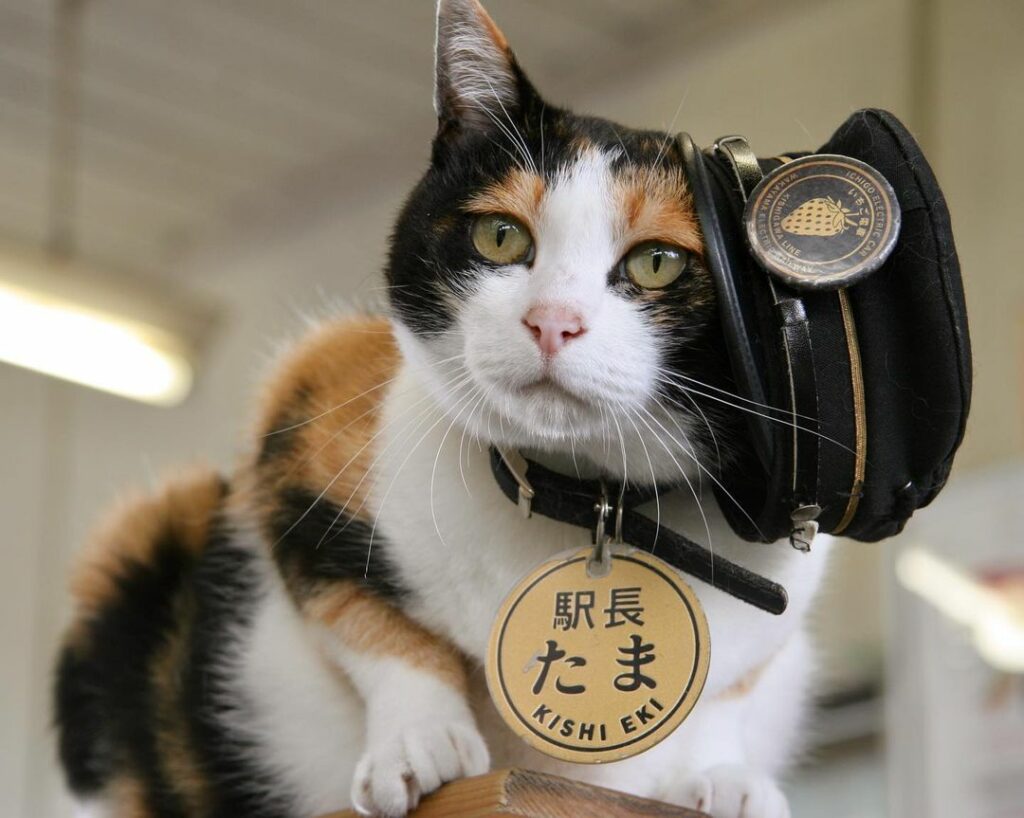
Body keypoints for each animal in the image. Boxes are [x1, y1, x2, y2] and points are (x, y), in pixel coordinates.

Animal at [54, 1, 831, 818]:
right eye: (501, 236)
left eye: (658, 262)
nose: (552, 321)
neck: (579, 498)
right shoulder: (304, 392)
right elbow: (363, 614)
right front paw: (420, 746)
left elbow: (726, 698)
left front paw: (723, 777)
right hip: (139, 545)